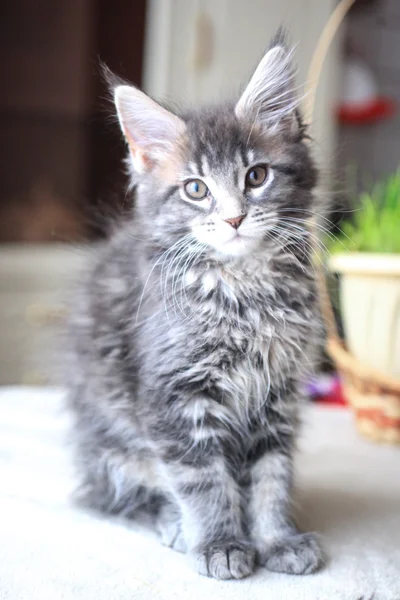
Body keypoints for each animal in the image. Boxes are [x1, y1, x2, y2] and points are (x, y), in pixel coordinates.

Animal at [67, 32, 324, 580]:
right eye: (196, 189)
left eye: (256, 176)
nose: (233, 219)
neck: (246, 292)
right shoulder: (176, 396)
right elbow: (202, 480)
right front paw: (220, 543)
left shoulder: (278, 397)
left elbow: (272, 476)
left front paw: (278, 539)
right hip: (114, 442)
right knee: (124, 495)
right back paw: (173, 523)